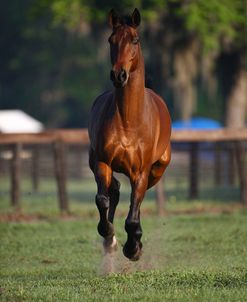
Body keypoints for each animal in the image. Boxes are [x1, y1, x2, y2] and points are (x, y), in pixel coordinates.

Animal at [89, 8, 172, 260]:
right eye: (111, 40)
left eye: (135, 40)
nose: (119, 75)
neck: (128, 122)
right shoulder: (102, 162)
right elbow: (102, 199)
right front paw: (108, 233)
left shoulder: (140, 173)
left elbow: (133, 217)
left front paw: (133, 249)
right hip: (94, 161)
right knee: (114, 190)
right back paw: (111, 240)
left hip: (156, 171)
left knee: (136, 203)